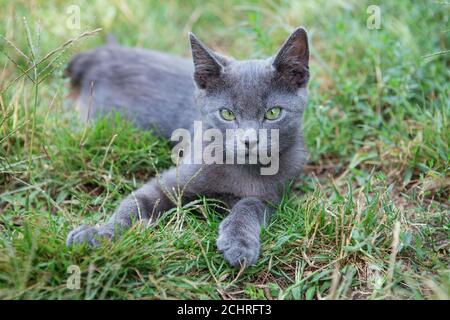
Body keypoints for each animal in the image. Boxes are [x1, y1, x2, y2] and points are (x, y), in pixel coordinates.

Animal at [66, 27, 310, 268]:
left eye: (273, 113)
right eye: (227, 114)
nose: (249, 141)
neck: (241, 169)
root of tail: (100, 53)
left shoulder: (275, 194)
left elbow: (250, 205)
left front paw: (239, 243)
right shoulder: (171, 181)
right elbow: (133, 204)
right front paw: (97, 234)